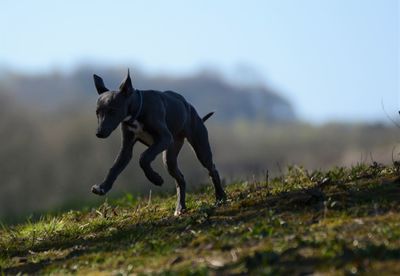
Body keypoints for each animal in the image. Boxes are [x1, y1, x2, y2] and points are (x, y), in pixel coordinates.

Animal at [92, 69, 227, 216]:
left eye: (112, 111)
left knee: (212, 170)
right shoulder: (126, 148)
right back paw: (180, 207)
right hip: (170, 157)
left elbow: (144, 157)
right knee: (180, 179)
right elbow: (115, 168)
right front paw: (103, 187)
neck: (137, 110)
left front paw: (155, 179)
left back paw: (220, 198)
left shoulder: (164, 138)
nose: (99, 133)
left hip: (200, 148)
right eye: (97, 112)